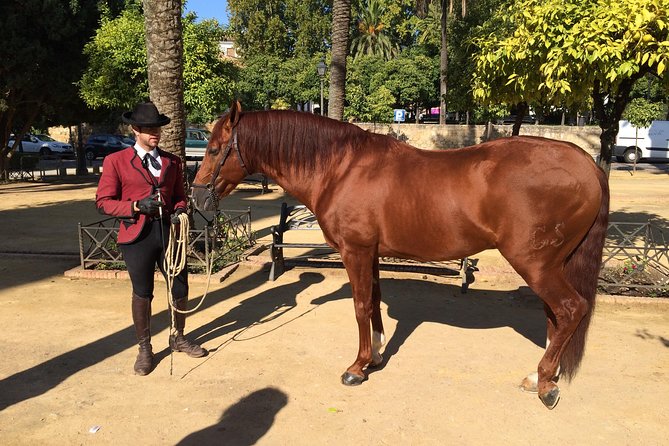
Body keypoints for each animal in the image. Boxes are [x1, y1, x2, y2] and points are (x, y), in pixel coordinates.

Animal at [190, 103, 608, 410]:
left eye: (214, 149)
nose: (197, 197)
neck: (341, 168)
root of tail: (585, 162)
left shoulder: (355, 251)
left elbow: (360, 305)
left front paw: (357, 367)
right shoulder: (371, 253)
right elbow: (373, 300)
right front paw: (374, 356)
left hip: (534, 263)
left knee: (570, 309)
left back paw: (546, 385)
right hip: (551, 265)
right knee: (555, 316)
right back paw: (539, 377)